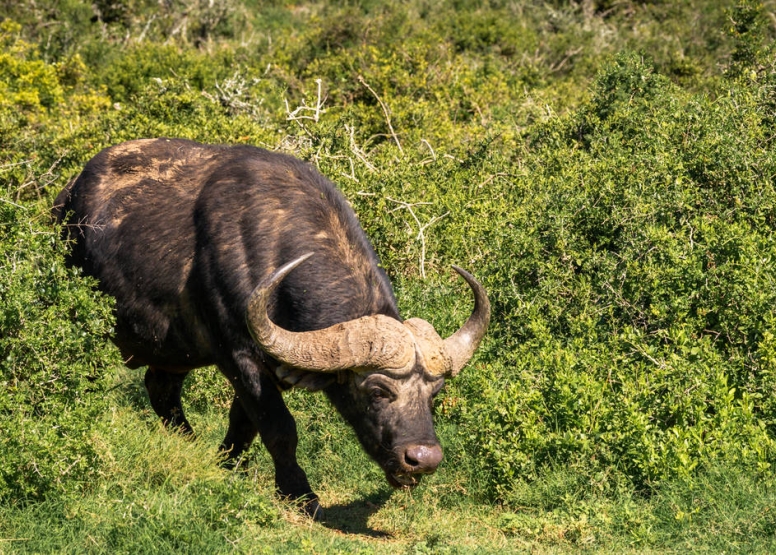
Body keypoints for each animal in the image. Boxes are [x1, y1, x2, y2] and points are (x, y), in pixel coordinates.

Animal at [53, 138, 492, 516]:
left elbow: (245, 422)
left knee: (161, 389)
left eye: (435, 393)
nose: (423, 459)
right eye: (377, 391)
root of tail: (65, 199)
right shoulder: (239, 355)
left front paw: (227, 465)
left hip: (171, 350)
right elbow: (279, 427)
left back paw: (186, 442)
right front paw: (300, 493)